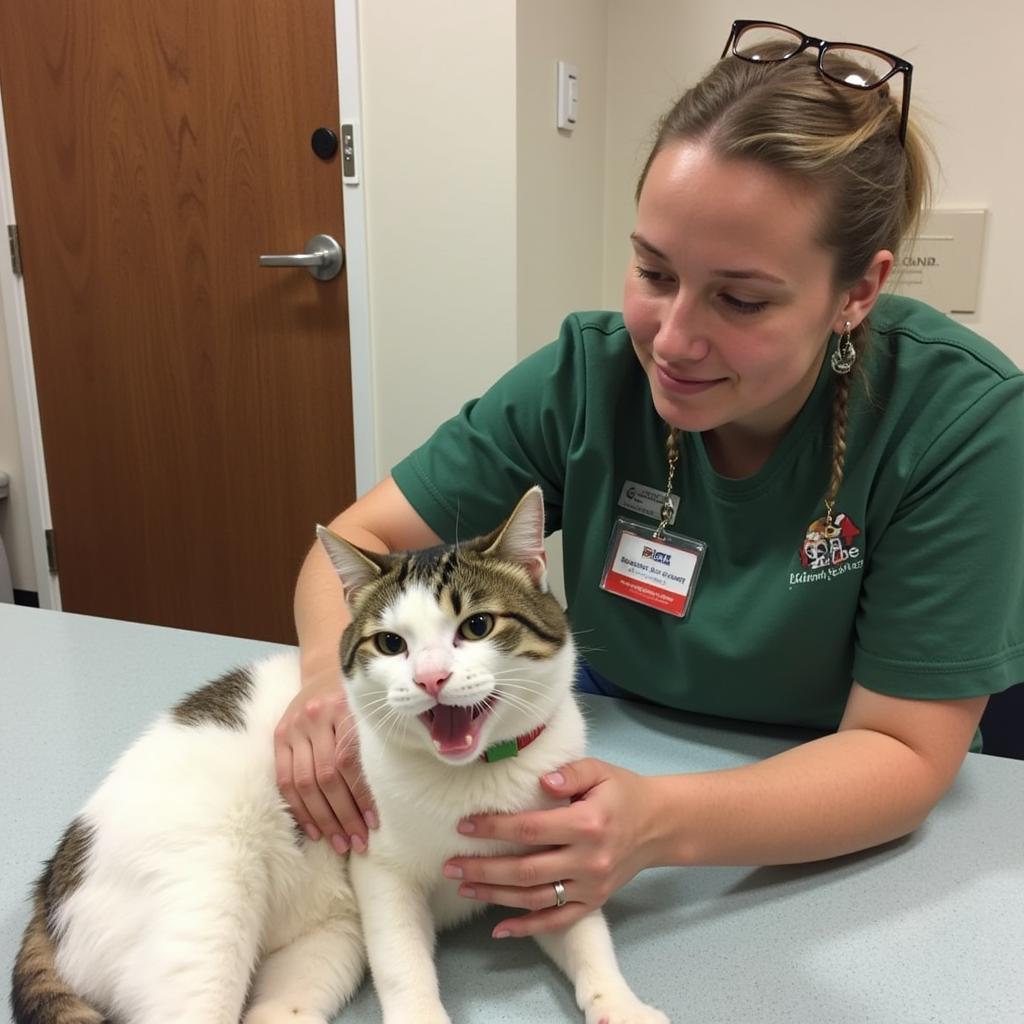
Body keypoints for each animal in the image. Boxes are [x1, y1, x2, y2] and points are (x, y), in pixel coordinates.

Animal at [12, 487, 667, 1024]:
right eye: (391, 644)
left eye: (477, 626)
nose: (430, 678)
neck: (475, 779)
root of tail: (49, 884)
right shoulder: (380, 873)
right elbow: (404, 970)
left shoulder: (556, 856)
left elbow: (587, 938)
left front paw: (621, 1005)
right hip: (209, 905)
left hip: (327, 945)